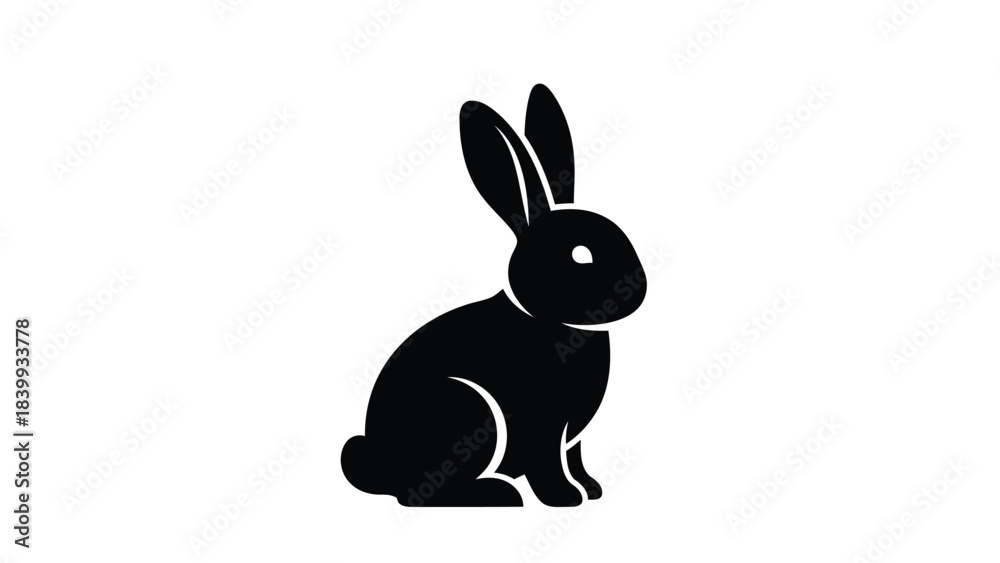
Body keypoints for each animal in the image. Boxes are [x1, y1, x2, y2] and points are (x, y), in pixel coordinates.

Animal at [342, 84, 647, 507]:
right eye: (580, 255)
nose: (638, 288)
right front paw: (564, 498)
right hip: (466, 411)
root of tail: (383, 470)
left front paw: (591, 489)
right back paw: (499, 493)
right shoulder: (544, 421)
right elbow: (547, 461)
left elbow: (575, 456)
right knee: (424, 493)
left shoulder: (572, 437)